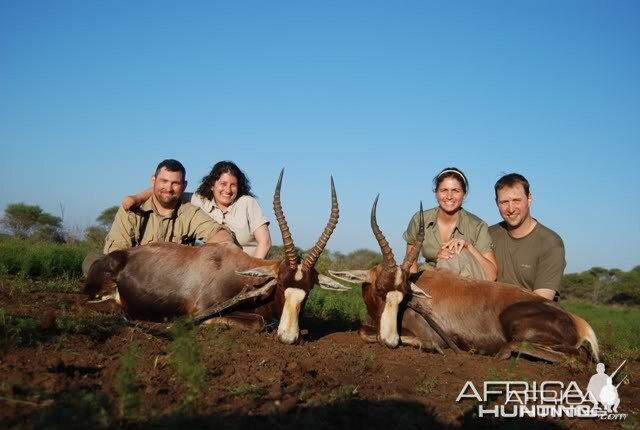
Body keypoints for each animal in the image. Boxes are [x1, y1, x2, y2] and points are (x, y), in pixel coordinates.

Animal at [330, 198, 600, 362]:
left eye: (404, 294)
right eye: (379, 290)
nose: (390, 340)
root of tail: (578, 323)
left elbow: (368, 333)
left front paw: (431, 347)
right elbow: (364, 330)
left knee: (576, 357)